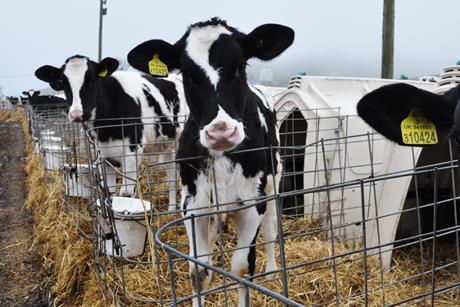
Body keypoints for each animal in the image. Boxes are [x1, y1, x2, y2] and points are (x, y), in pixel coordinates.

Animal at [33, 55, 189, 209]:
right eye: (64, 84)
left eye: (91, 81)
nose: (77, 114)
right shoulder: (103, 154)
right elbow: (110, 192)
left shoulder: (133, 151)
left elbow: (125, 193)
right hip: (166, 144)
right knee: (171, 174)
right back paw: (171, 209)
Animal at [128, 18, 294, 306]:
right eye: (187, 73)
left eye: (240, 65)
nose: (221, 132)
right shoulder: (193, 205)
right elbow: (198, 270)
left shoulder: (253, 203)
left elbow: (242, 268)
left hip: (274, 183)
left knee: (271, 231)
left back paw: (273, 271)